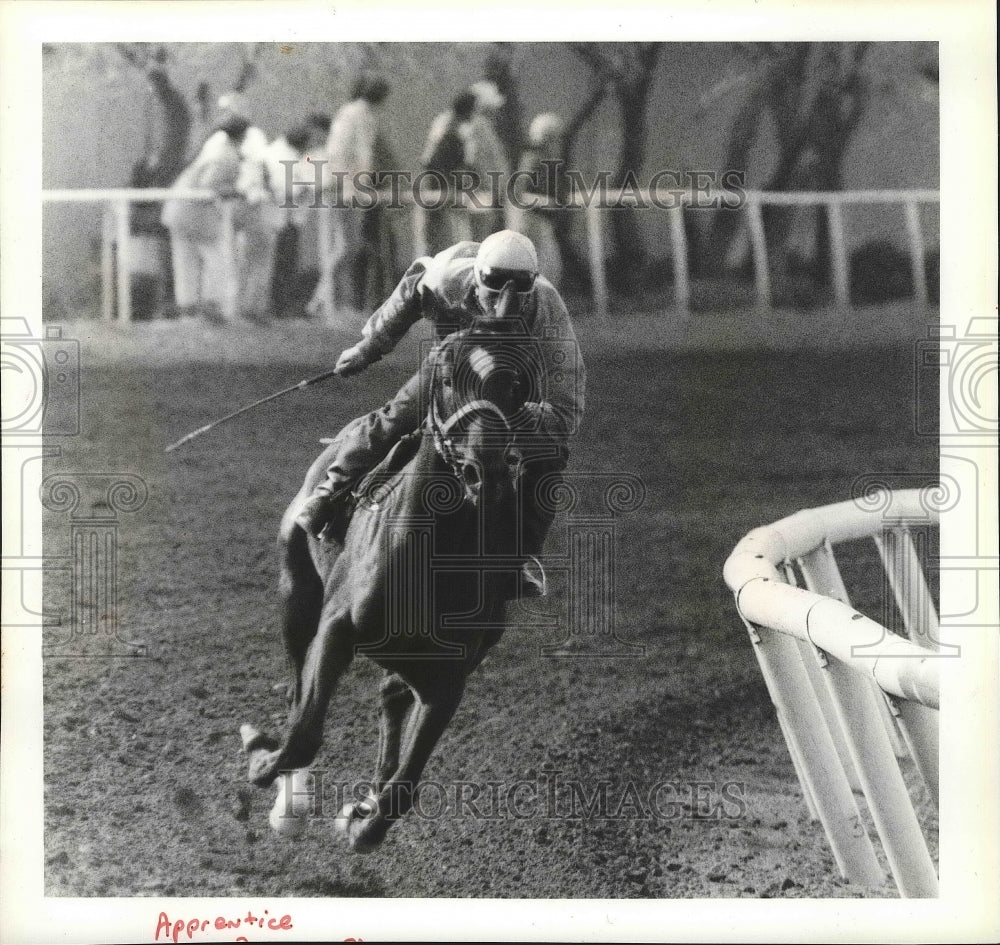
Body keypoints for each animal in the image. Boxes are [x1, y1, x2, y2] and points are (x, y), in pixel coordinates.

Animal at [240, 320, 540, 852]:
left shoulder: (450, 680)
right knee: (299, 688)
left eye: (515, 387)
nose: (488, 471)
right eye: (446, 379)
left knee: (391, 697)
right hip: (296, 592)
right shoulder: (336, 627)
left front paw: (363, 824)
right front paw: (260, 759)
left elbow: (406, 784)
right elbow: (303, 734)